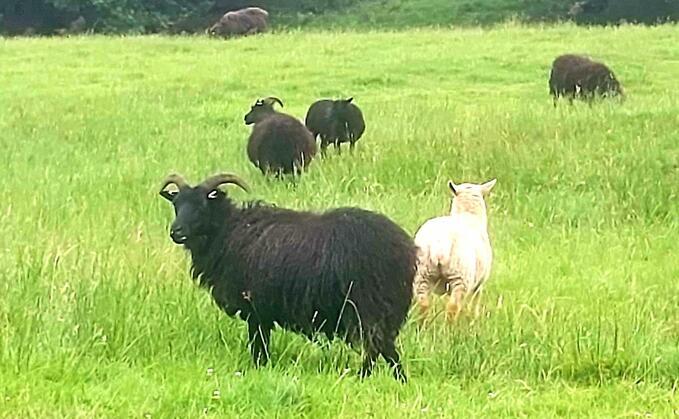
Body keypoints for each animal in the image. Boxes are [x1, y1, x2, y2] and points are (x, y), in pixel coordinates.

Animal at [159, 173, 417, 382]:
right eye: (176, 205)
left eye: (202, 205)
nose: (175, 232)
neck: (227, 231)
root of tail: (404, 249)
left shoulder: (256, 310)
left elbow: (259, 348)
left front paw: (258, 371)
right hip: (382, 308)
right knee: (385, 347)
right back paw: (399, 379)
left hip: (367, 306)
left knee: (376, 346)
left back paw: (363, 377)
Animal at [413, 179, 496, 321]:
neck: (468, 215)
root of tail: (439, 243)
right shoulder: (479, 283)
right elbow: (475, 301)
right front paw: (474, 318)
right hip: (460, 278)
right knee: (453, 307)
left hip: (422, 275)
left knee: (423, 305)